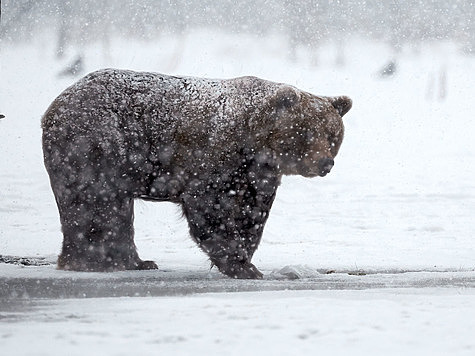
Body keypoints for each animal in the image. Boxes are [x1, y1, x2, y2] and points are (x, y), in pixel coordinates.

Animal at [41, 69, 354, 280]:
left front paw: (246, 257)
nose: (325, 163)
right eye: (306, 132)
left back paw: (135, 261)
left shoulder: (256, 175)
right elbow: (210, 208)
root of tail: (55, 104)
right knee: (97, 201)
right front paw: (241, 264)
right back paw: (101, 261)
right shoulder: (212, 157)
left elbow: (252, 213)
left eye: (332, 135)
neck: (254, 143)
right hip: (98, 143)